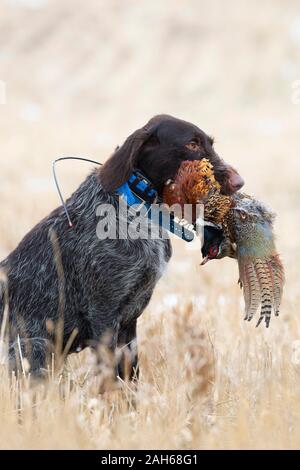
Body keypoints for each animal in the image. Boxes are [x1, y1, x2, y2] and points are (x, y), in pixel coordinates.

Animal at [0, 114, 244, 378]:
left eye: (209, 143)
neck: (136, 204)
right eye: (192, 144)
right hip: (36, 346)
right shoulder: (104, 315)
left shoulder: (128, 323)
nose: (238, 182)